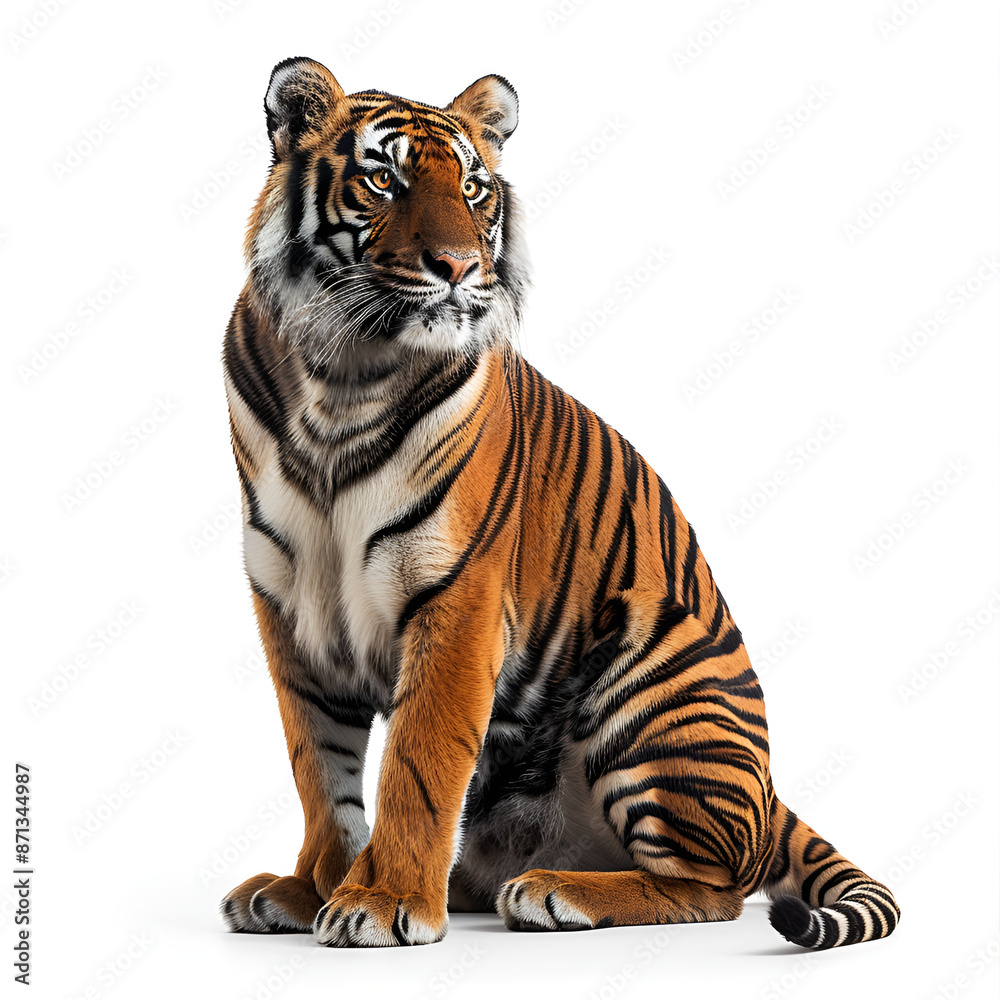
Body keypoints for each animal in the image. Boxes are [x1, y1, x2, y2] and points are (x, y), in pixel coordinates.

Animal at [219, 56, 900, 950]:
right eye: (383, 178)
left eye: (473, 188)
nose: (458, 267)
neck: (342, 375)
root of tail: (770, 792)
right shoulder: (288, 605)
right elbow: (318, 770)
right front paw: (314, 888)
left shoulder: (457, 594)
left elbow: (419, 763)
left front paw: (384, 902)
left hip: (652, 658)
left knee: (718, 887)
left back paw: (552, 893)